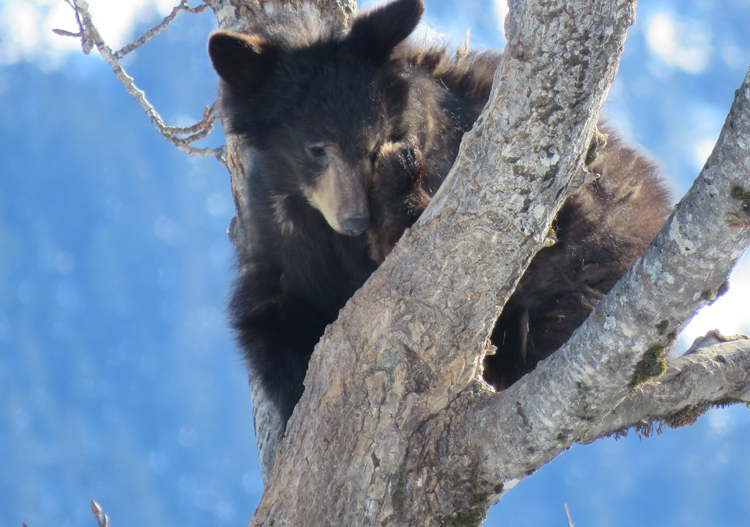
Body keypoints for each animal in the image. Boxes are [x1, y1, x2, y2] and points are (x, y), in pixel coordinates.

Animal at [208, 0, 671, 426]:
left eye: (373, 143)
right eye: (316, 148)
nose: (357, 220)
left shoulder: (448, 151)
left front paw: (395, 185)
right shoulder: (280, 245)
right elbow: (270, 321)